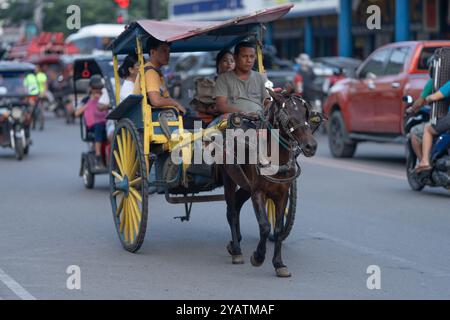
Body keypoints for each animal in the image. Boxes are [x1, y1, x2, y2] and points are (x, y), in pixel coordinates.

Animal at [220, 90, 322, 278]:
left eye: (306, 114)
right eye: (287, 117)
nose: (310, 146)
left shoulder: (282, 194)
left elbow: (279, 229)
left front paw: (279, 263)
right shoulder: (258, 193)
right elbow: (265, 225)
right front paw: (258, 257)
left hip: (246, 186)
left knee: (237, 204)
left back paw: (235, 241)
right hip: (228, 177)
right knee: (231, 212)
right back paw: (237, 250)